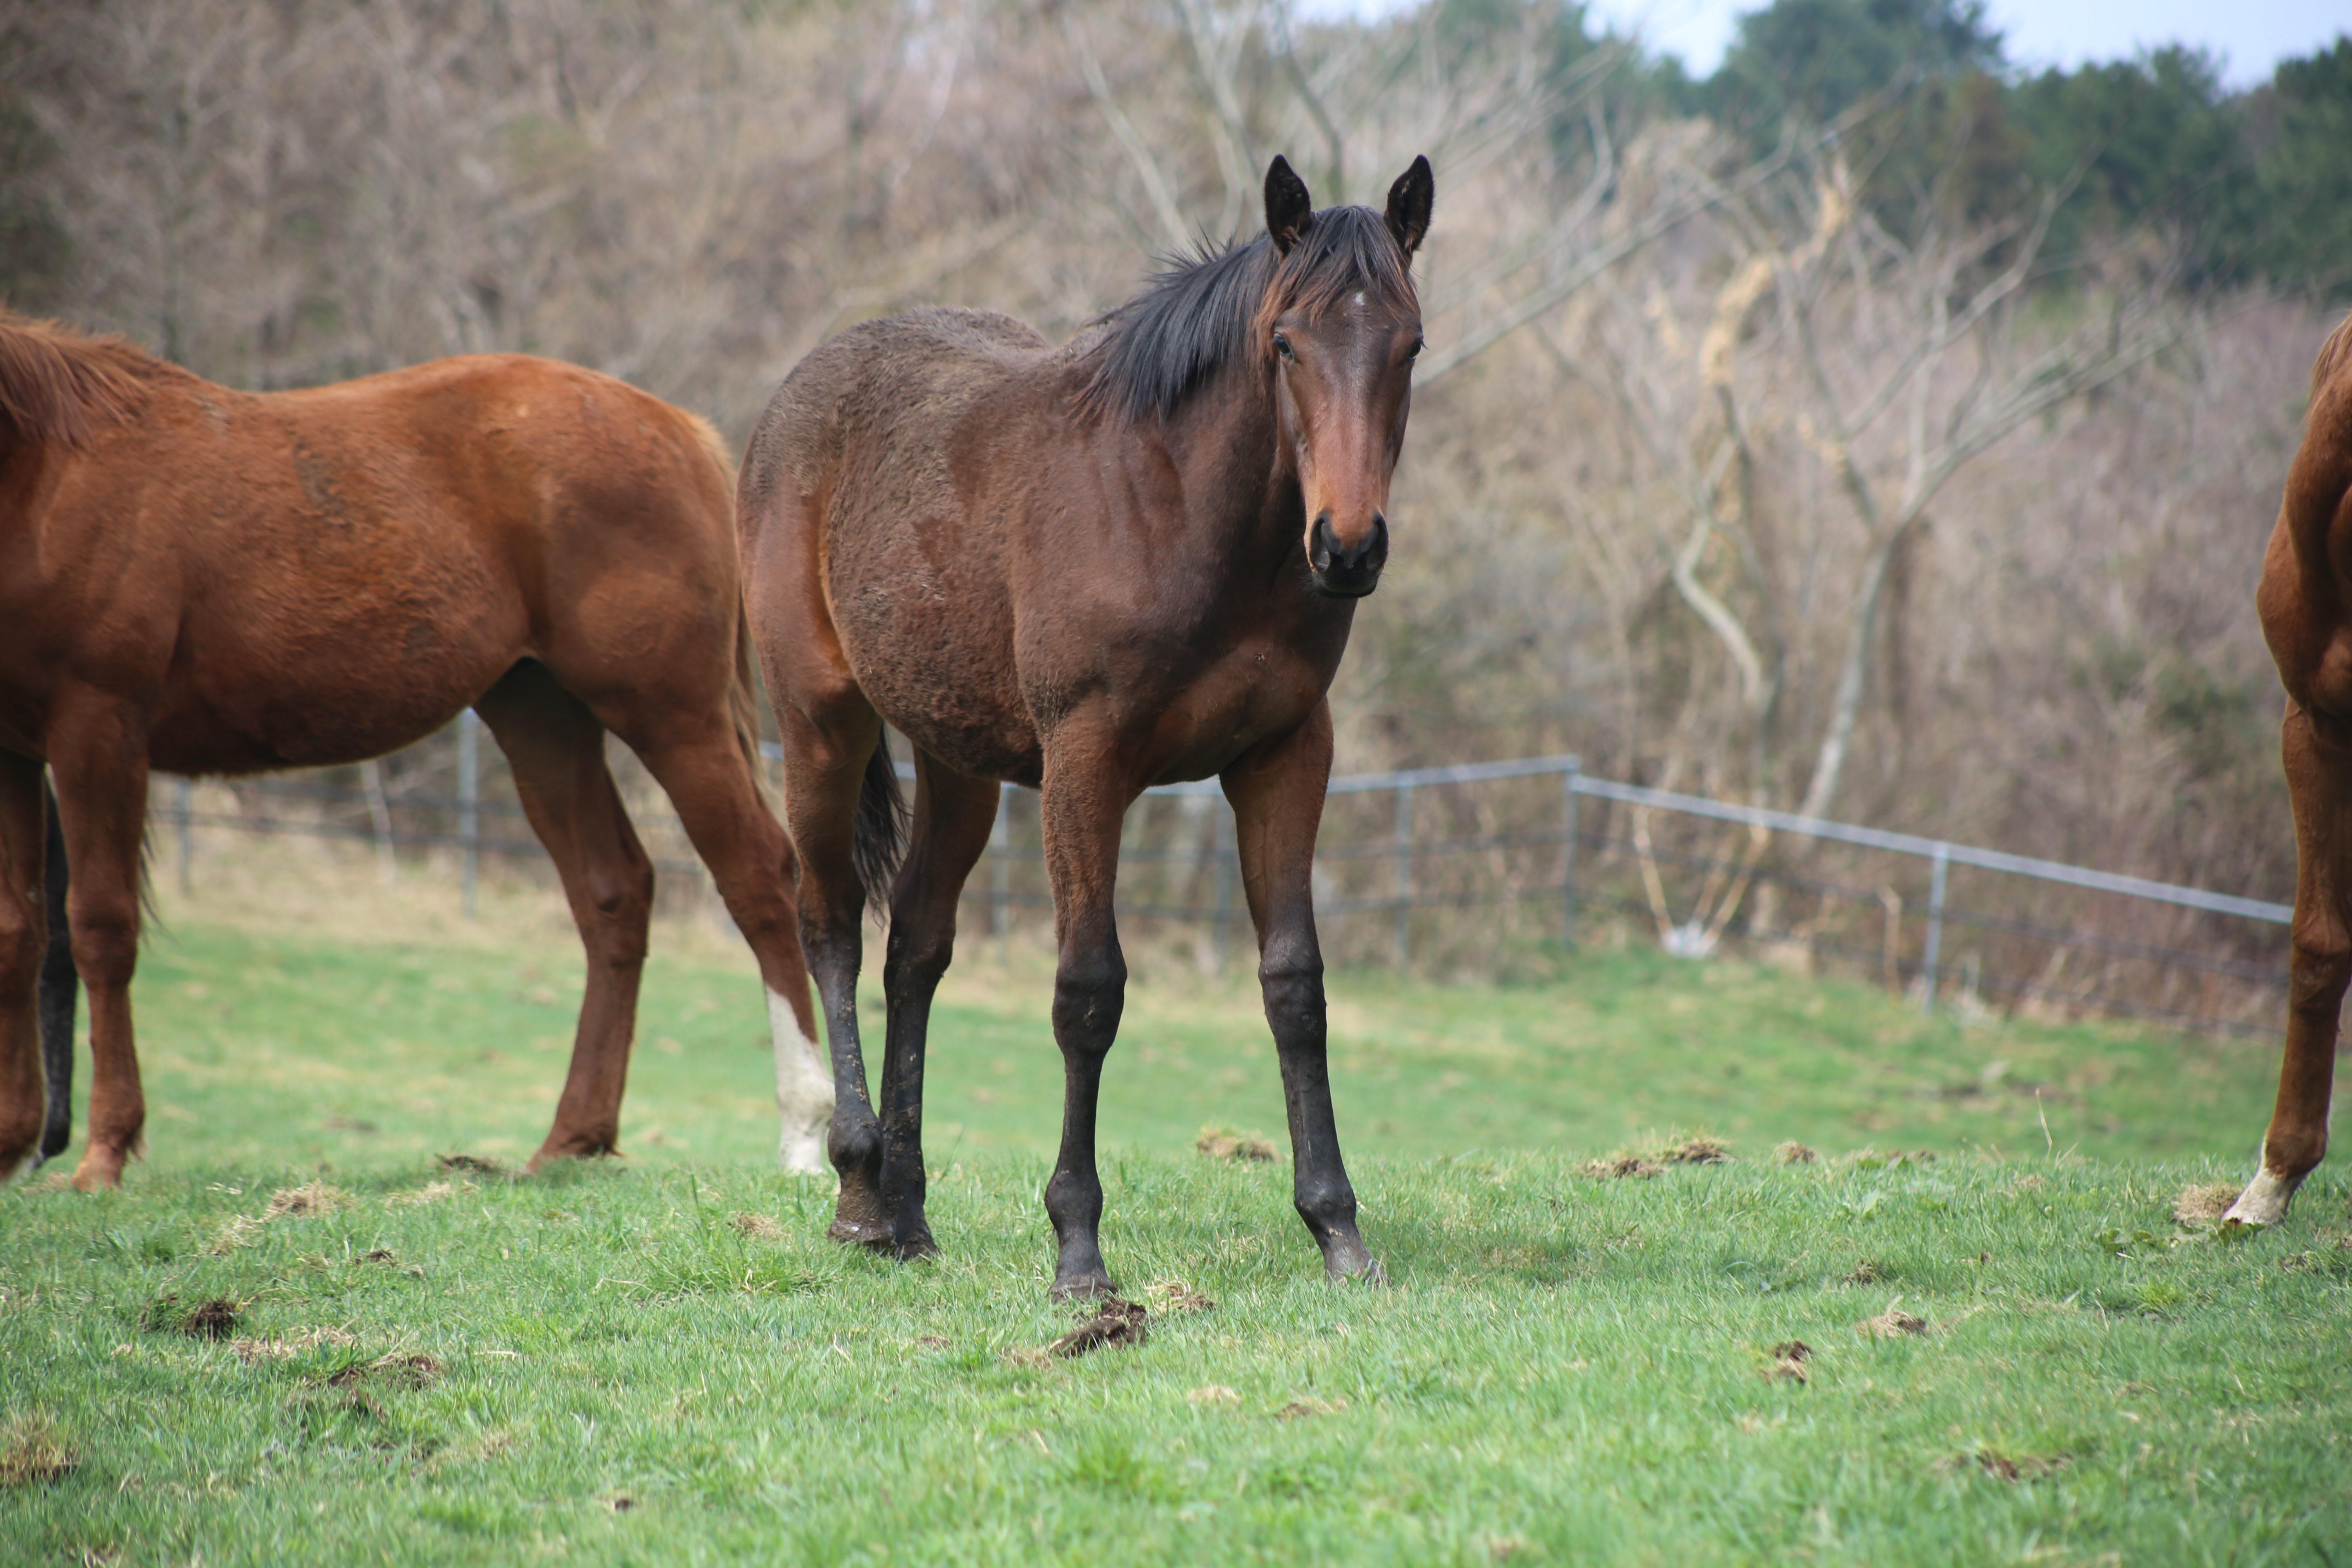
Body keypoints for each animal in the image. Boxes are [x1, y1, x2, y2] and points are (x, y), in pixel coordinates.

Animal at [0, 322, 842, 1203]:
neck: (50, 470)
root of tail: (680, 429)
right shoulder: (13, 749)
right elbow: (18, 930)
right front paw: (14, 1146)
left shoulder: (97, 725)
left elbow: (99, 927)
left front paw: (103, 1155)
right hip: (541, 716)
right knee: (612, 893)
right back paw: (569, 1142)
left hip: (671, 718)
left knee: (757, 876)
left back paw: (803, 1131)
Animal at [738, 153, 1430, 1297]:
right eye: (1286, 343)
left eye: (1408, 344)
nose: (1347, 547)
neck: (1182, 513)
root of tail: (795, 392)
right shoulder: (1085, 761)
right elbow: (1087, 992)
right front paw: (1078, 1249)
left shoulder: (1287, 754)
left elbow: (1294, 984)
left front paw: (1338, 1231)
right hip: (821, 723)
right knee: (830, 922)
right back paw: (857, 1192)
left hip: (958, 761)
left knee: (914, 946)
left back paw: (909, 1210)